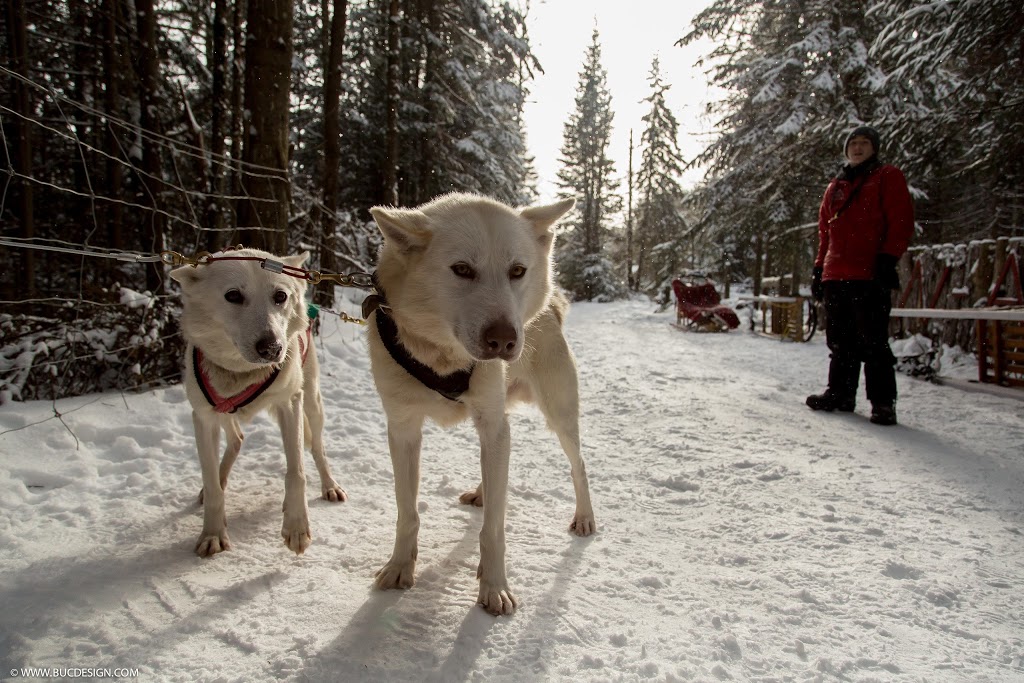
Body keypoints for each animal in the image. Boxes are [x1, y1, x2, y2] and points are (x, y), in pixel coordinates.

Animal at [366, 191, 593, 614]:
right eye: (462, 269)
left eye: (517, 270)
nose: (504, 340)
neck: (443, 358)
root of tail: (551, 309)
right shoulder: (403, 429)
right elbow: (407, 512)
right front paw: (400, 566)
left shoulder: (492, 424)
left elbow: (494, 530)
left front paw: (494, 586)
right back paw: (484, 493)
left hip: (559, 416)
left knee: (579, 466)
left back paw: (585, 516)